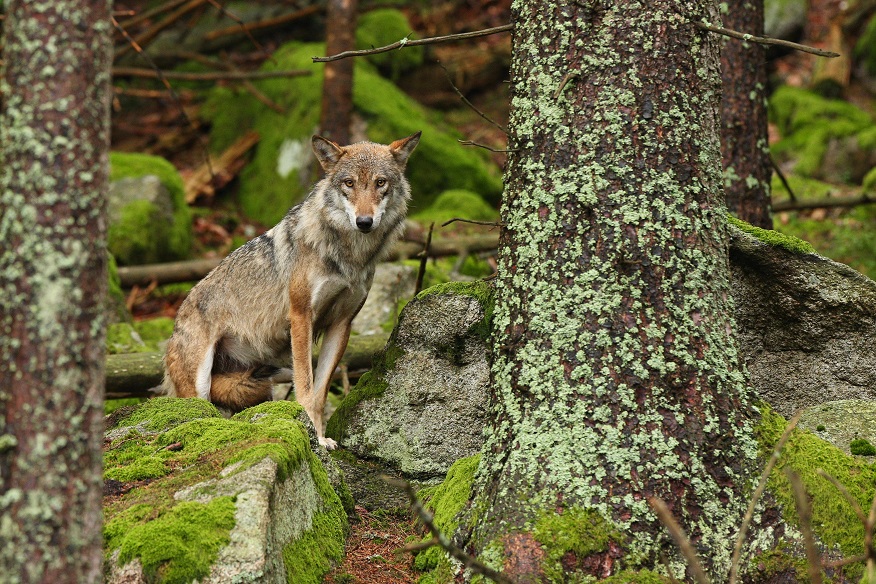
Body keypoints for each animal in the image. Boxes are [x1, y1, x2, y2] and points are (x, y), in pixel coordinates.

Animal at [165, 132, 424, 450]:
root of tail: (177, 319)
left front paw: (322, 437)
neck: (350, 256)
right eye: (349, 183)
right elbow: (305, 386)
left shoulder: (342, 324)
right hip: (200, 383)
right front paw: (314, 437)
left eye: (380, 182)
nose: (364, 222)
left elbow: (319, 392)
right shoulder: (301, 316)